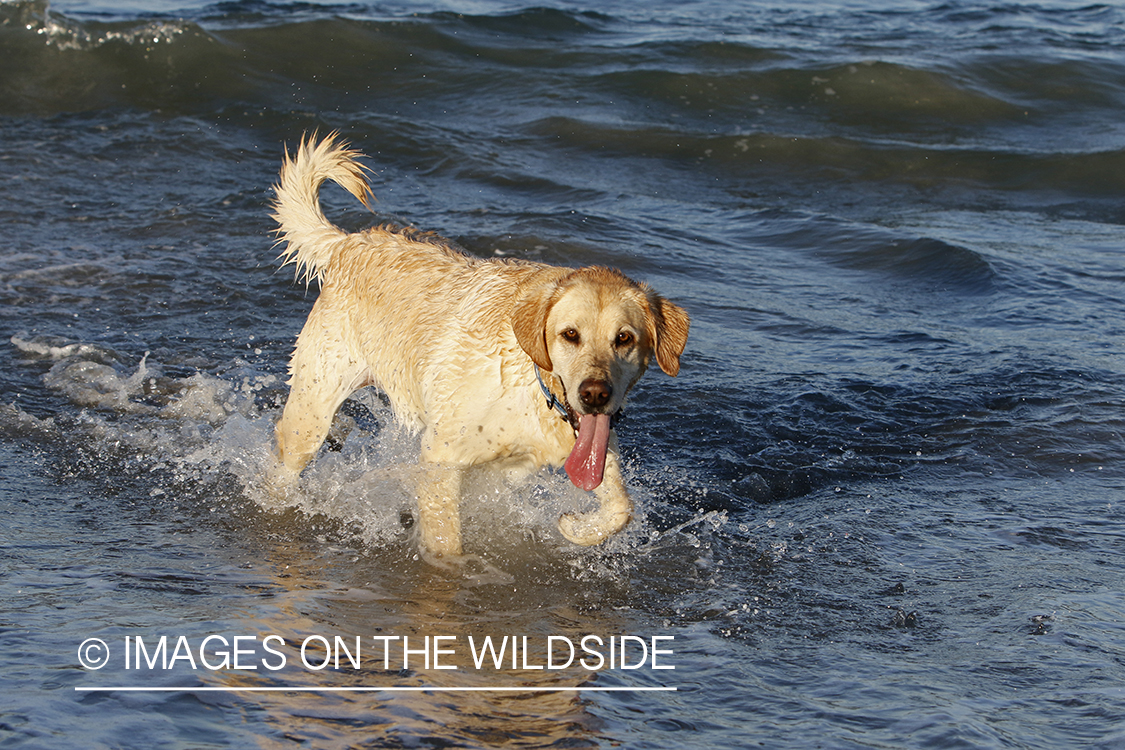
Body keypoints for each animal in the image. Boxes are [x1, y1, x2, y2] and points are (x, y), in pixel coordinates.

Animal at [267, 134, 688, 557]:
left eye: (624, 338)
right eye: (570, 334)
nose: (595, 394)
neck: (536, 391)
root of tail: (349, 243)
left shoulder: (591, 444)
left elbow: (621, 508)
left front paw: (575, 527)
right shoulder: (441, 458)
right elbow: (446, 541)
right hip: (313, 406)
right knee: (288, 456)